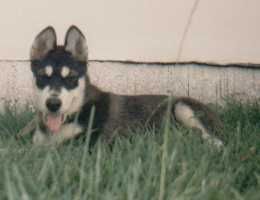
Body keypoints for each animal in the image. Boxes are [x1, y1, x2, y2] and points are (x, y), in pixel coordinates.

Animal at [30, 25, 223, 147]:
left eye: (70, 77)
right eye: (43, 77)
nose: (53, 104)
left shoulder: (90, 144)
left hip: (182, 107)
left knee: (213, 139)